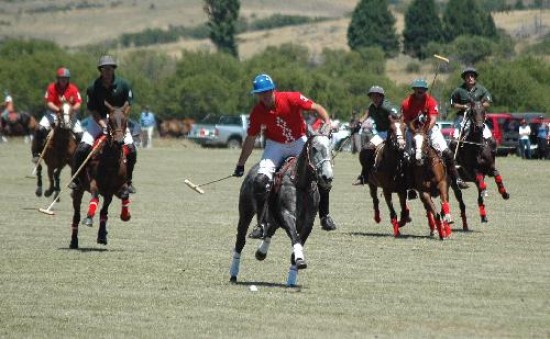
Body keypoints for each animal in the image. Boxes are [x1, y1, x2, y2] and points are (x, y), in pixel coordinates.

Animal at [70, 103, 133, 250]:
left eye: (126, 121)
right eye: (110, 121)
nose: (119, 141)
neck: (109, 159)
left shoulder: (114, 188)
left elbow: (124, 195)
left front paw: (125, 215)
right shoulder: (94, 183)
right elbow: (95, 196)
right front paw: (89, 218)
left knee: (104, 212)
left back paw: (102, 235)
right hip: (78, 190)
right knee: (76, 215)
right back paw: (74, 241)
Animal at [231, 124, 334, 286]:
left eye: (331, 148)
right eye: (314, 148)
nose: (327, 176)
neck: (301, 184)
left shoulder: (308, 222)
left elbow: (298, 241)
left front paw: (293, 275)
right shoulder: (287, 215)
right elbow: (295, 237)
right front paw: (300, 260)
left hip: (273, 217)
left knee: (270, 229)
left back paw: (261, 252)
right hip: (246, 211)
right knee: (240, 240)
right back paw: (233, 273)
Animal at [452, 101, 512, 230]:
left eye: (483, 111)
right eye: (472, 112)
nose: (479, 127)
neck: (478, 146)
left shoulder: (490, 168)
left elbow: (497, 176)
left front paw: (504, 194)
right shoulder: (473, 171)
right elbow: (481, 184)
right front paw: (486, 191)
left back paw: (483, 216)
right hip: (453, 183)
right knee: (461, 202)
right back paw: (465, 224)